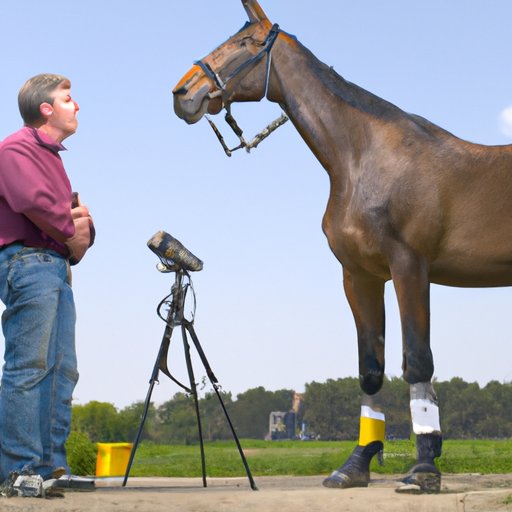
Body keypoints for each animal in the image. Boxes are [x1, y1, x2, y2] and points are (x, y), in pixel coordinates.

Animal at [171, 0, 512, 494]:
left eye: (246, 43)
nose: (183, 94)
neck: (364, 158)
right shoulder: (359, 275)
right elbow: (371, 368)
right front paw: (357, 465)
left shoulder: (410, 267)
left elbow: (417, 361)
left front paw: (424, 468)